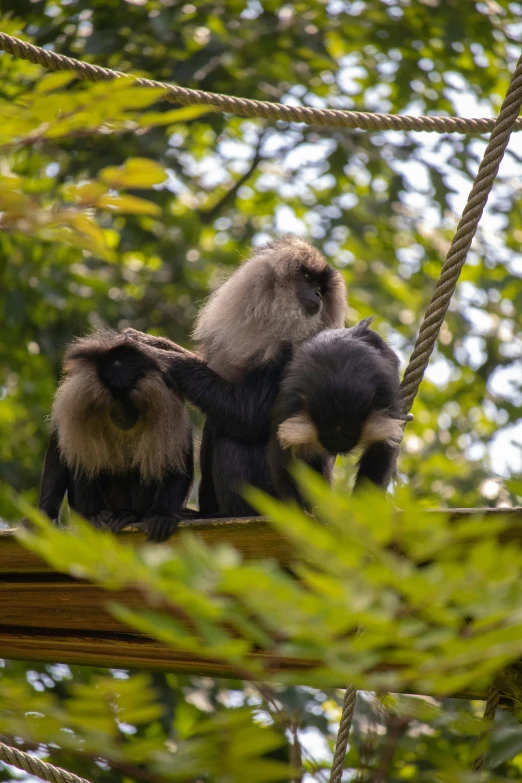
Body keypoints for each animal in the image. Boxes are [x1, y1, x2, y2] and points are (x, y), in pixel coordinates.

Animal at [38, 328, 193, 544]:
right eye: (114, 401)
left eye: (129, 400)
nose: (122, 415)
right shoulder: (71, 403)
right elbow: (58, 455)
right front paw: (44, 516)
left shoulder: (171, 400)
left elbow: (176, 464)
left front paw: (163, 515)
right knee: (81, 462)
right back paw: (94, 516)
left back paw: (130, 515)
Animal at [124, 239, 348, 520]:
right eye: (308, 280)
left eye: (321, 288)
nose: (318, 294)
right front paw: (156, 343)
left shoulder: (291, 355)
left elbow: (249, 415)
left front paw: (156, 354)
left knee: (232, 436)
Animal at [268, 318, 406, 508]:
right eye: (328, 438)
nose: (335, 446)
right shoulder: (289, 405)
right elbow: (284, 459)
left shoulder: (384, 399)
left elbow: (381, 448)